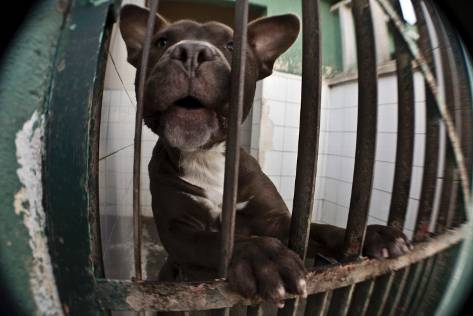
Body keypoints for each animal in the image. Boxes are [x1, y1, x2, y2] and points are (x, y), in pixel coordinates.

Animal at [118, 3, 410, 312]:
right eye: (161, 42)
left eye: (232, 45)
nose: (192, 52)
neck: (206, 156)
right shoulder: (179, 231)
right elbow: (217, 240)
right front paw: (264, 257)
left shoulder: (276, 221)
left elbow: (320, 230)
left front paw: (372, 234)